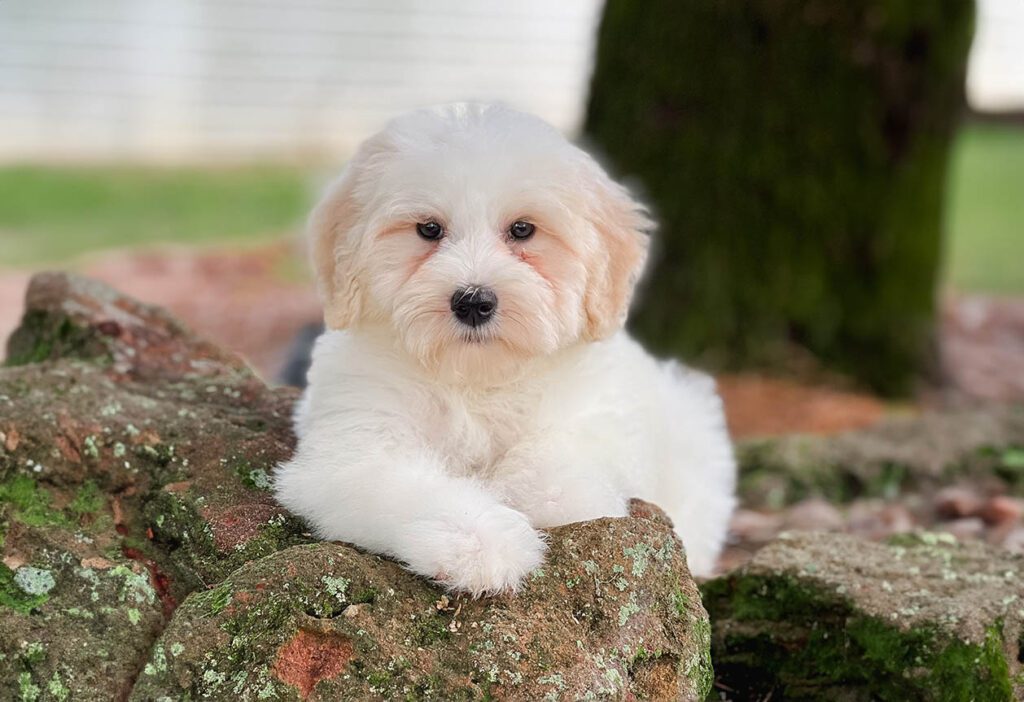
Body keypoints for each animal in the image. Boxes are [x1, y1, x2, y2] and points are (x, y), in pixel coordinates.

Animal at [274, 104, 737, 597]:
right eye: (429, 230)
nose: (473, 301)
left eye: (522, 230)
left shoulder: (590, 421)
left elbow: (553, 471)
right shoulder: (356, 445)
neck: (477, 378)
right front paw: (479, 544)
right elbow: (410, 485)